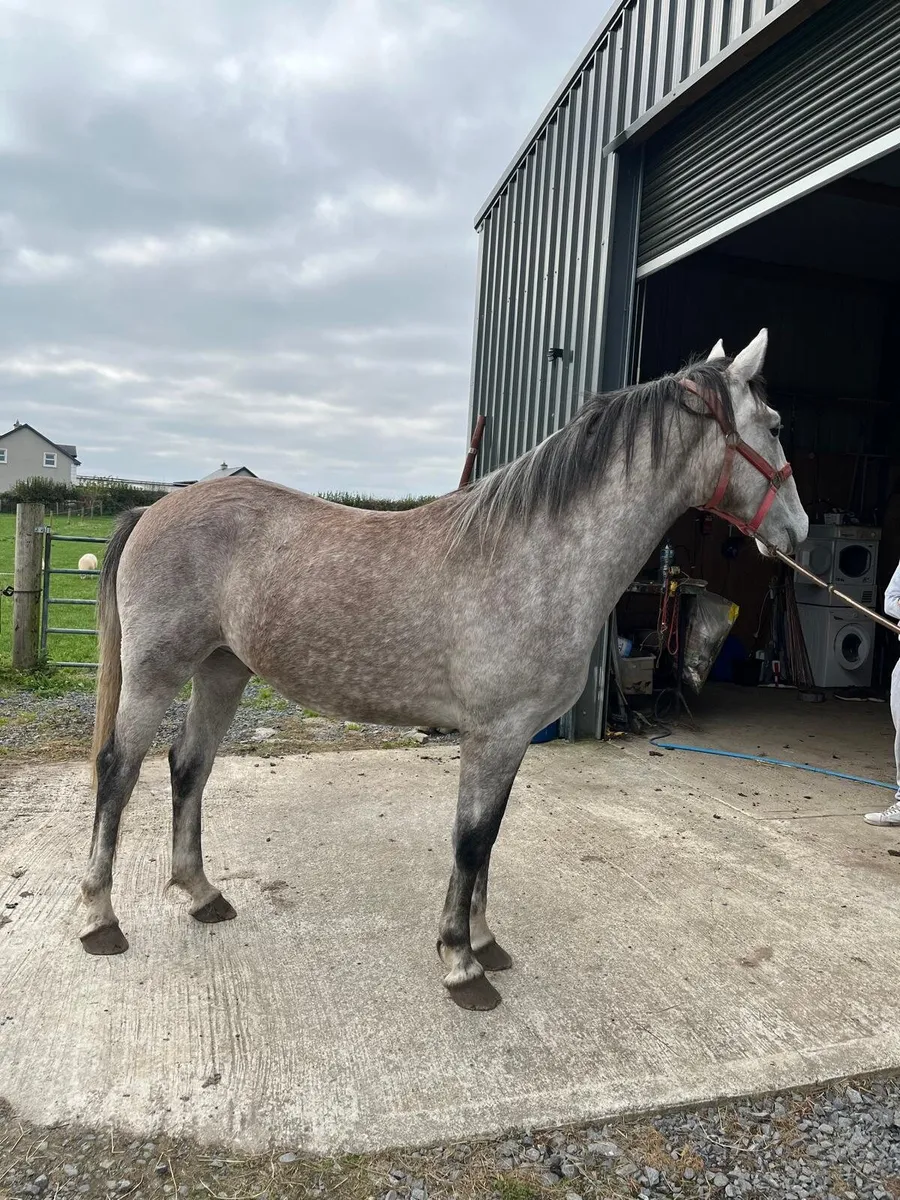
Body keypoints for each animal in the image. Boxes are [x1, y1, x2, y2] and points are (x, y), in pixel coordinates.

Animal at [80, 329, 808, 1011]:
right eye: (774, 426)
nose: (798, 531)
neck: (538, 555)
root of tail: (153, 508)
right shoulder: (494, 732)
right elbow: (471, 839)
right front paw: (461, 962)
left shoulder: (510, 738)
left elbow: (488, 839)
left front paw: (484, 941)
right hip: (155, 674)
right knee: (118, 772)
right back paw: (99, 918)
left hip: (223, 671)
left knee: (188, 767)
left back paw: (201, 894)